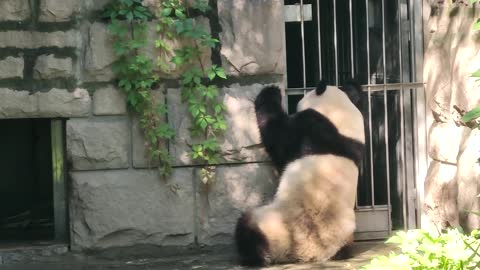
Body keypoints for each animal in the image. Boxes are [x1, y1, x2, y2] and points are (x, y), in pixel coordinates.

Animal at [234, 80, 366, 266]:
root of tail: (308, 253)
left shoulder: (309, 128)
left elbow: (278, 138)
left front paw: (270, 91)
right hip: (345, 231)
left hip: (274, 223)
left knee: (248, 229)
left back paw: (253, 257)